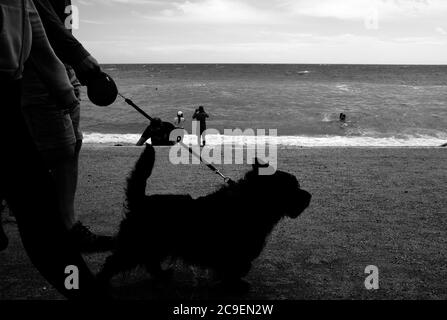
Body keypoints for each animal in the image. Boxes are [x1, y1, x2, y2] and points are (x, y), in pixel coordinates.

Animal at [99, 145, 312, 290]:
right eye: (292, 188)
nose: (309, 196)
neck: (250, 202)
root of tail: (140, 200)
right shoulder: (235, 253)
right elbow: (235, 269)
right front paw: (236, 285)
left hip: (154, 245)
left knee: (150, 262)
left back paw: (163, 275)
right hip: (135, 246)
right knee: (113, 262)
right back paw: (102, 283)